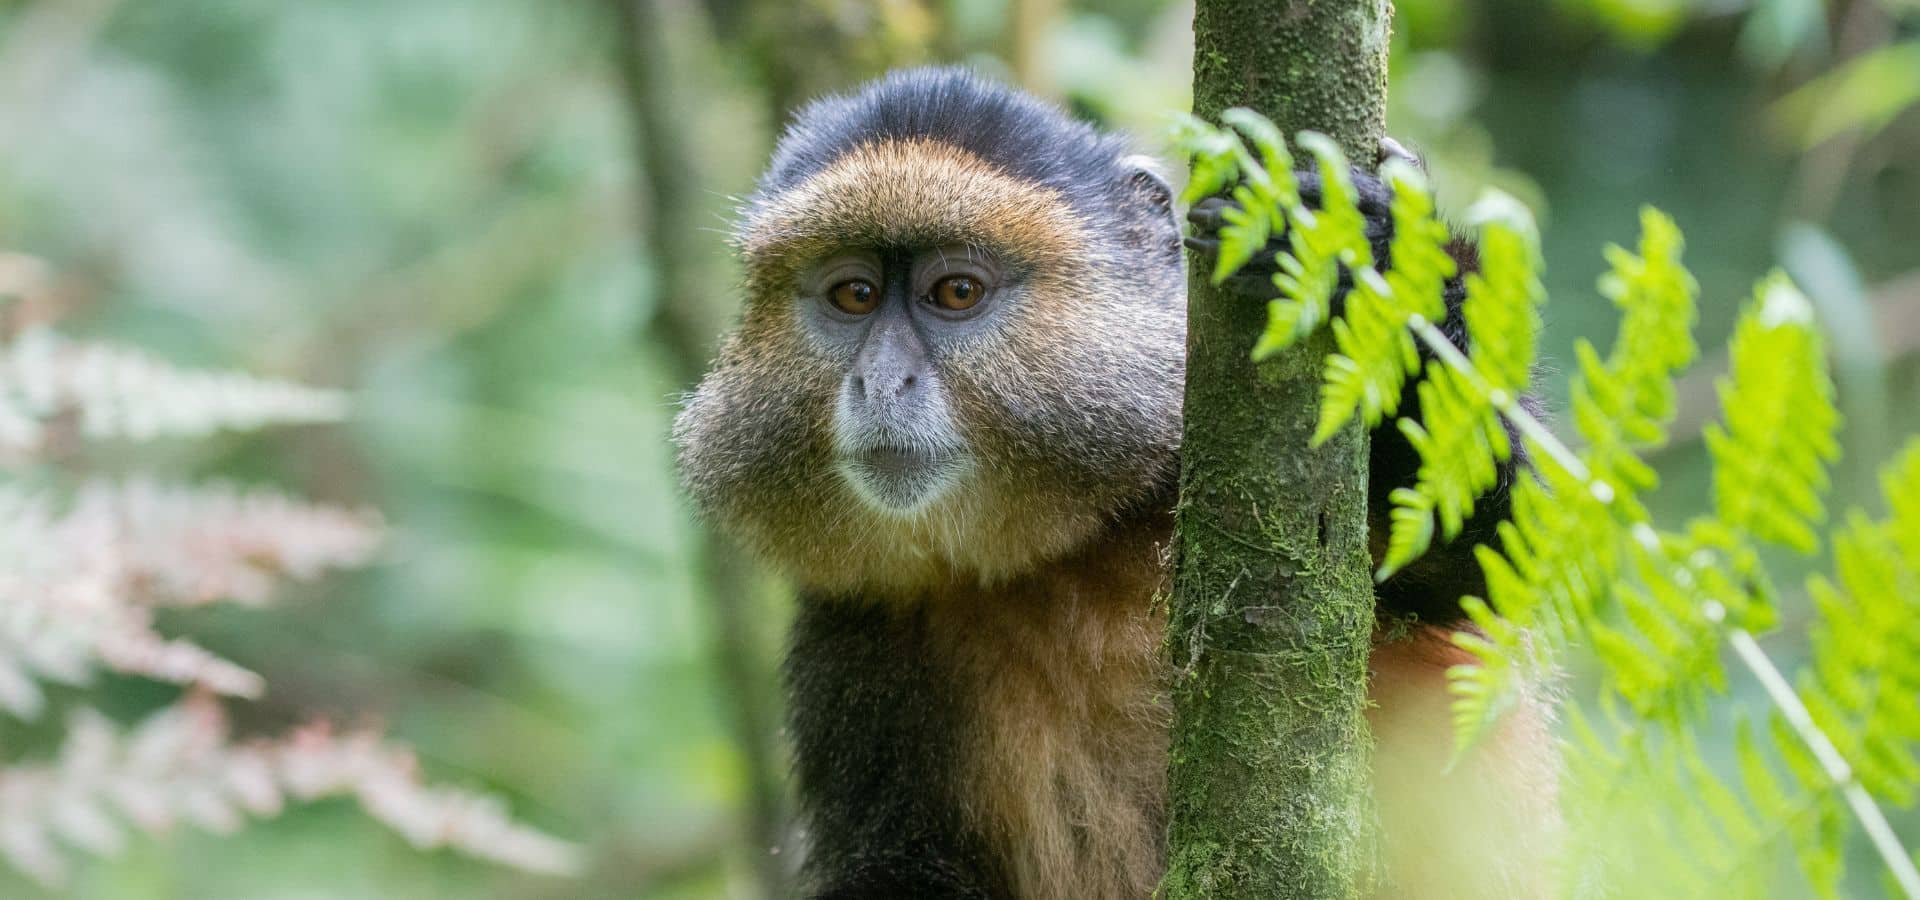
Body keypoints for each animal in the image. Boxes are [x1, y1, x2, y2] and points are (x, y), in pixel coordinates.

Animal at [674, 67, 1560, 900]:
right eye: (854, 295)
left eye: (955, 292)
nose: (880, 381)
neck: (1068, 549)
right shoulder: (850, 632)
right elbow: (900, 862)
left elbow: (1491, 563)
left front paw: (1375, 257)